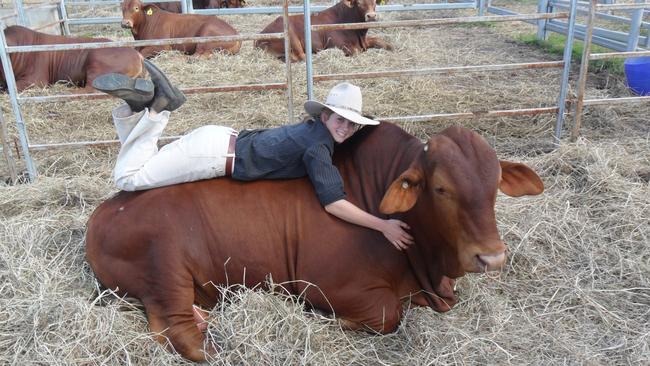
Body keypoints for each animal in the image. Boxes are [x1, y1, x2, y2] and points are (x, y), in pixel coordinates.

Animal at [85, 123, 540, 360]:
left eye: (495, 184)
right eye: (441, 188)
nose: (492, 257)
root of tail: (104, 211)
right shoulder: (327, 285)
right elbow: (388, 314)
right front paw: (333, 320)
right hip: (165, 264)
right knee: (182, 335)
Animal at [254, 0, 392, 61]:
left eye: (375, 1)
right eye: (359, 3)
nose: (371, 16)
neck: (359, 33)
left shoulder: (364, 41)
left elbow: (381, 42)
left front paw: (391, 47)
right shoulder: (338, 44)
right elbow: (356, 51)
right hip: (291, 37)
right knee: (301, 56)